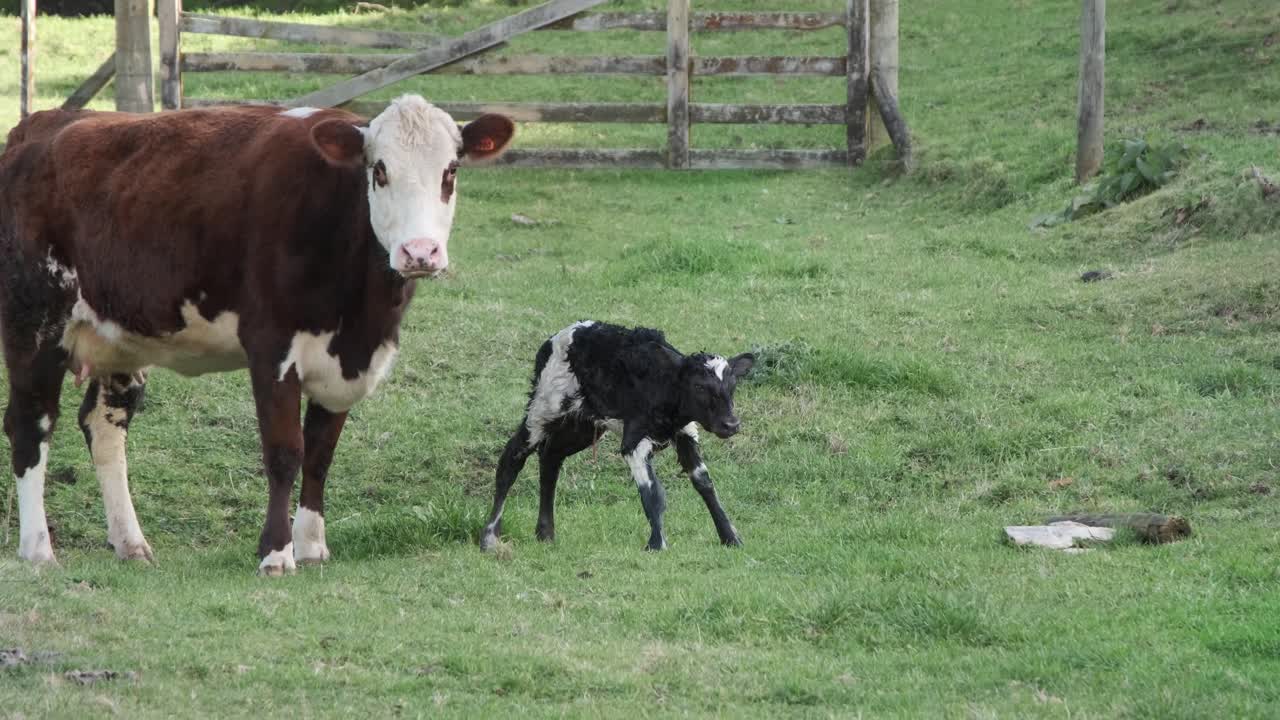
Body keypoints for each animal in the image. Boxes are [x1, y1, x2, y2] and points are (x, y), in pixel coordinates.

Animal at [0, 95, 514, 574]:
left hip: (121, 337)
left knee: (105, 427)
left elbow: (320, 454)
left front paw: (312, 546)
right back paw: (38, 550)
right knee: (30, 425)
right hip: (35, 325)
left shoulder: (342, 362)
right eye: (380, 170)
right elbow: (285, 451)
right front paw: (276, 552)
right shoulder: (272, 347)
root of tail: (39, 124)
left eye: (451, 170)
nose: (419, 252)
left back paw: (131, 544)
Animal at [479, 321, 754, 552]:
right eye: (698, 387)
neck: (664, 386)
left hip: (581, 424)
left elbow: (704, 484)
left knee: (550, 458)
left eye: (732, 386)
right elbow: (652, 491)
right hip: (543, 408)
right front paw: (657, 544)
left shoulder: (686, 434)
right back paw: (490, 537)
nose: (731, 424)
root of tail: (555, 338)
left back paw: (545, 534)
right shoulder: (634, 440)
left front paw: (730, 537)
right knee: (512, 458)